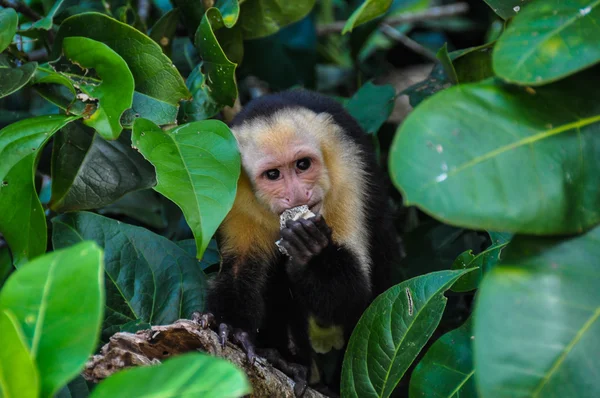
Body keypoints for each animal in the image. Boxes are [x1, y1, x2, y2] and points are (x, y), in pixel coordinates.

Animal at [195, 89, 400, 394]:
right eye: (273, 174)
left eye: (303, 165)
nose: (298, 194)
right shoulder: (231, 187)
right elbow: (241, 269)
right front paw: (231, 328)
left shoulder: (348, 169)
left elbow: (355, 295)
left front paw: (310, 253)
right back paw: (285, 359)